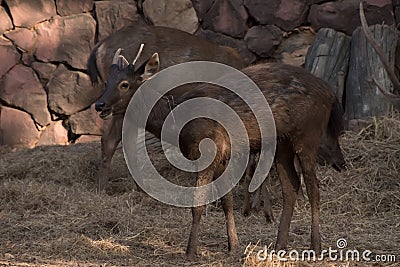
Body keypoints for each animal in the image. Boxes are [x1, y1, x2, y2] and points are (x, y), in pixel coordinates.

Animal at [97, 45, 344, 260]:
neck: (177, 123)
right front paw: (233, 245)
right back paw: (279, 245)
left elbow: (198, 204)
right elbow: (226, 200)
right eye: (107, 82)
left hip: (308, 135)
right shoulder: (223, 155)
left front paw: (190, 252)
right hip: (282, 143)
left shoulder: (207, 151)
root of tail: (331, 93)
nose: (100, 105)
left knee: (313, 188)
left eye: (125, 84)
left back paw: (316, 246)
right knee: (291, 187)